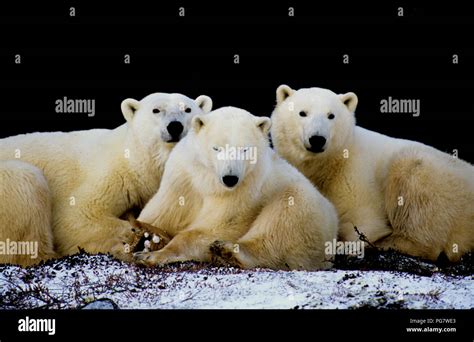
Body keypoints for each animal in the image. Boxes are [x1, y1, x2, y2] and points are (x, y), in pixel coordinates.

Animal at [0, 91, 211, 264]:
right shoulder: (115, 174)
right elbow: (75, 216)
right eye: (156, 110)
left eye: (187, 109)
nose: (175, 126)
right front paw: (135, 236)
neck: (137, 160)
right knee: (26, 179)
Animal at [133, 106, 336, 270]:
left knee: (284, 219)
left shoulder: (246, 188)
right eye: (217, 148)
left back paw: (228, 251)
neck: (209, 180)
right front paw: (145, 233)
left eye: (244, 149)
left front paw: (149, 255)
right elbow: (162, 213)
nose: (230, 178)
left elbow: (218, 227)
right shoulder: (182, 179)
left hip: (309, 211)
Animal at [270, 85, 474, 262]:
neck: (331, 165)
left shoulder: (355, 178)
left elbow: (365, 222)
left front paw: (346, 244)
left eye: (331, 115)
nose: (317, 139)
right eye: (302, 113)